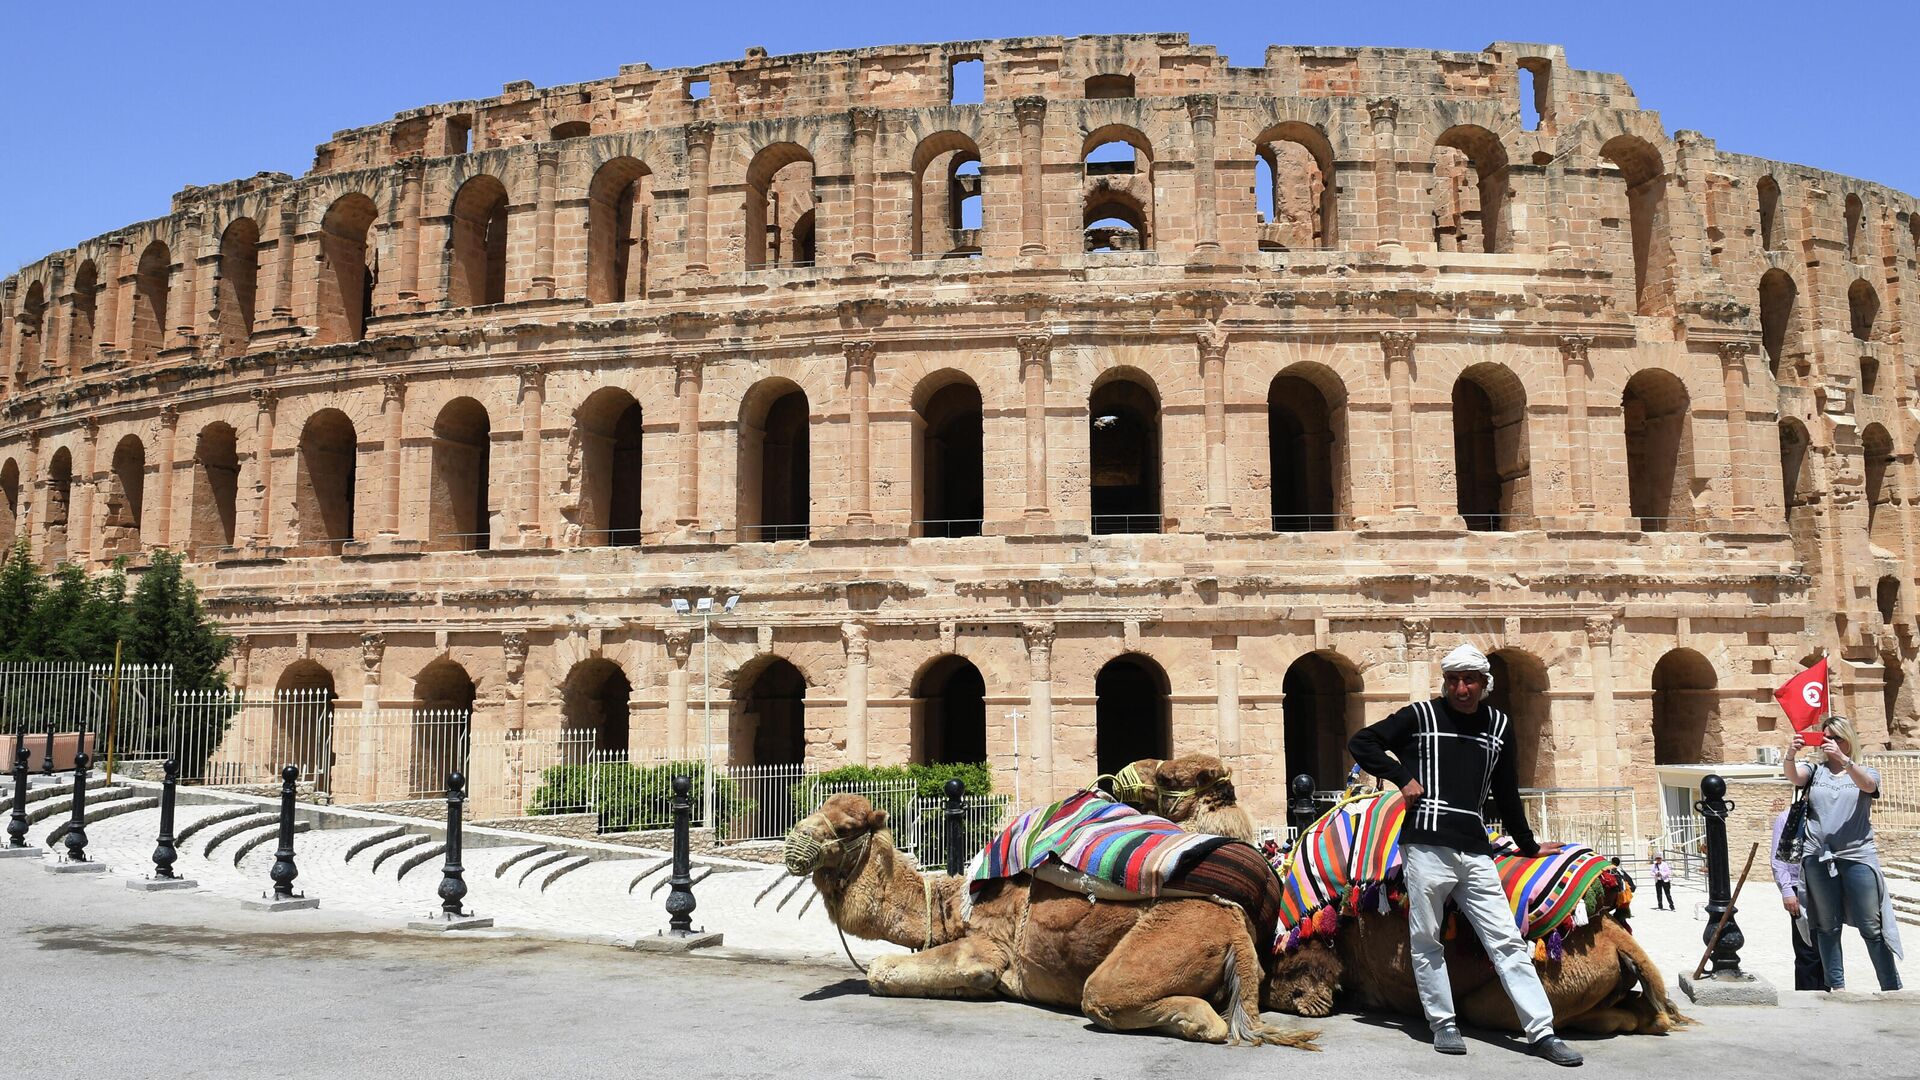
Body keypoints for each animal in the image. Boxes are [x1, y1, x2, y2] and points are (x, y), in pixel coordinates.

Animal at [779, 787, 1320, 1045]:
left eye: (848, 825)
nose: (792, 842)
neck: (952, 904)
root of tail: (1238, 931)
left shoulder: (988, 946)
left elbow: (881, 971)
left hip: (1172, 937)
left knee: (1104, 996)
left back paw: (1199, 1020)